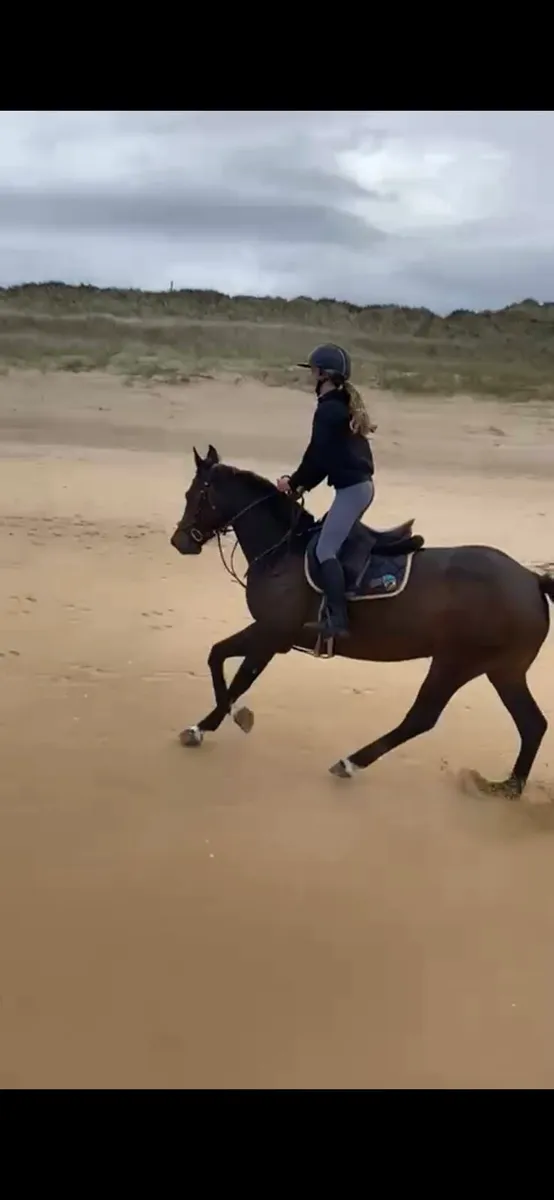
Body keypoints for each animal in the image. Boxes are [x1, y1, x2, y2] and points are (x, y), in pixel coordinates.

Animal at [170, 443, 553, 799]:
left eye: (194, 495)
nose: (179, 541)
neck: (282, 550)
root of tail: (532, 579)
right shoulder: (271, 635)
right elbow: (217, 655)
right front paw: (223, 718)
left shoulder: (271, 634)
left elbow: (238, 676)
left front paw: (210, 725)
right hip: (503, 670)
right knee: (532, 724)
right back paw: (510, 786)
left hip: (456, 662)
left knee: (422, 717)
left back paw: (350, 762)